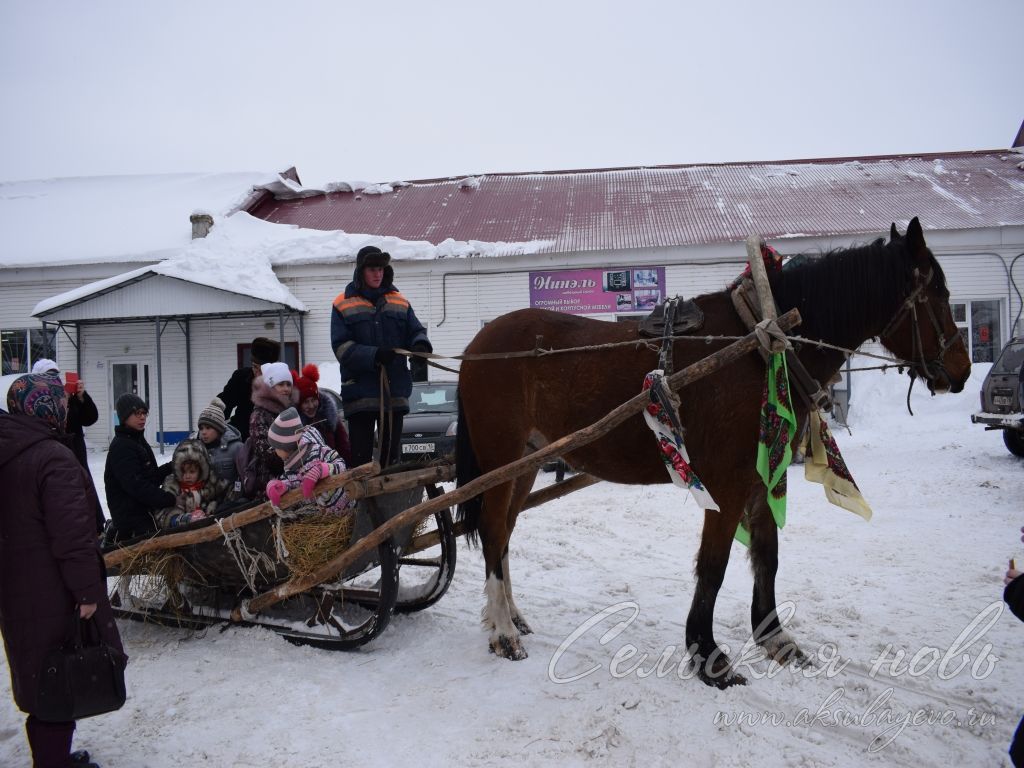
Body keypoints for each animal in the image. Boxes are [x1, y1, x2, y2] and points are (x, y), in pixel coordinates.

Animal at [456, 218, 966, 692]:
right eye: (938, 292)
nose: (960, 371)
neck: (761, 347)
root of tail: (476, 347)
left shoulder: (766, 474)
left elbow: (767, 555)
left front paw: (775, 638)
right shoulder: (727, 482)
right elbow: (714, 567)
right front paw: (708, 656)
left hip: (524, 464)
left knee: (504, 533)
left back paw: (510, 616)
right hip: (500, 460)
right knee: (493, 530)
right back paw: (502, 632)